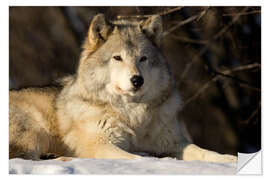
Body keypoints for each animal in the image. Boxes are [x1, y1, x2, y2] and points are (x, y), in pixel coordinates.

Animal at [8, 12, 236, 162]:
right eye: (117, 58)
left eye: (143, 58)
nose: (137, 80)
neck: (132, 114)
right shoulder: (101, 144)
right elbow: (138, 159)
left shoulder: (173, 143)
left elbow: (205, 152)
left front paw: (230, 160)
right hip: (34, 132)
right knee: (22, 158)